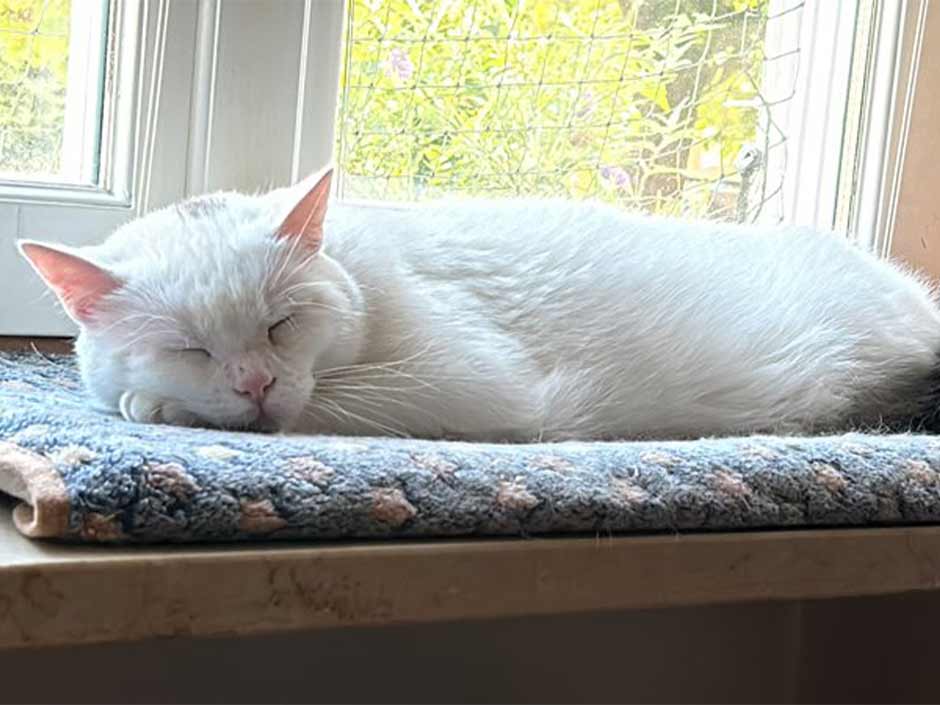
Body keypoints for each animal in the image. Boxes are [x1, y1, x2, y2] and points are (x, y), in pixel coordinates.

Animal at [16, 166, 940, 440]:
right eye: (190, 345)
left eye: (283, 323)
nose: (253, 383)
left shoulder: (476, 383)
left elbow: (326, 406)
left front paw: (158, 407)